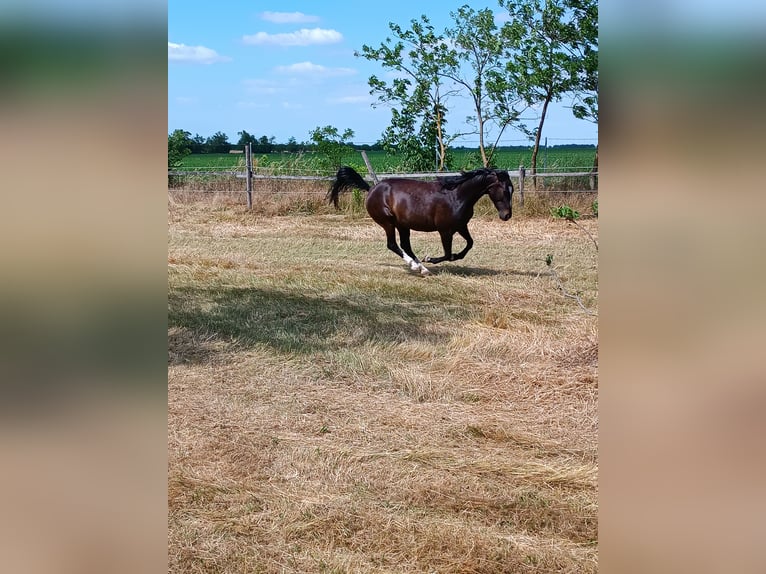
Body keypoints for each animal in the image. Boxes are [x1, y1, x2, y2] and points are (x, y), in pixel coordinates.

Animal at [327, 166, 513, 275]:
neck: (457, 196)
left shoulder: (461, 226)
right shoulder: (445, 230)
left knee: (405, 245)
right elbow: (448, 254)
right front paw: (429, 258)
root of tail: (371, 189)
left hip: (403, 225)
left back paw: (422, 269)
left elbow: (469, 244)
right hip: (388, 222)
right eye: (505, 190)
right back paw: (417, 266)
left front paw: (450, 257)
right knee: (393, 244)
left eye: (511, 189)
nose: (506, 215)